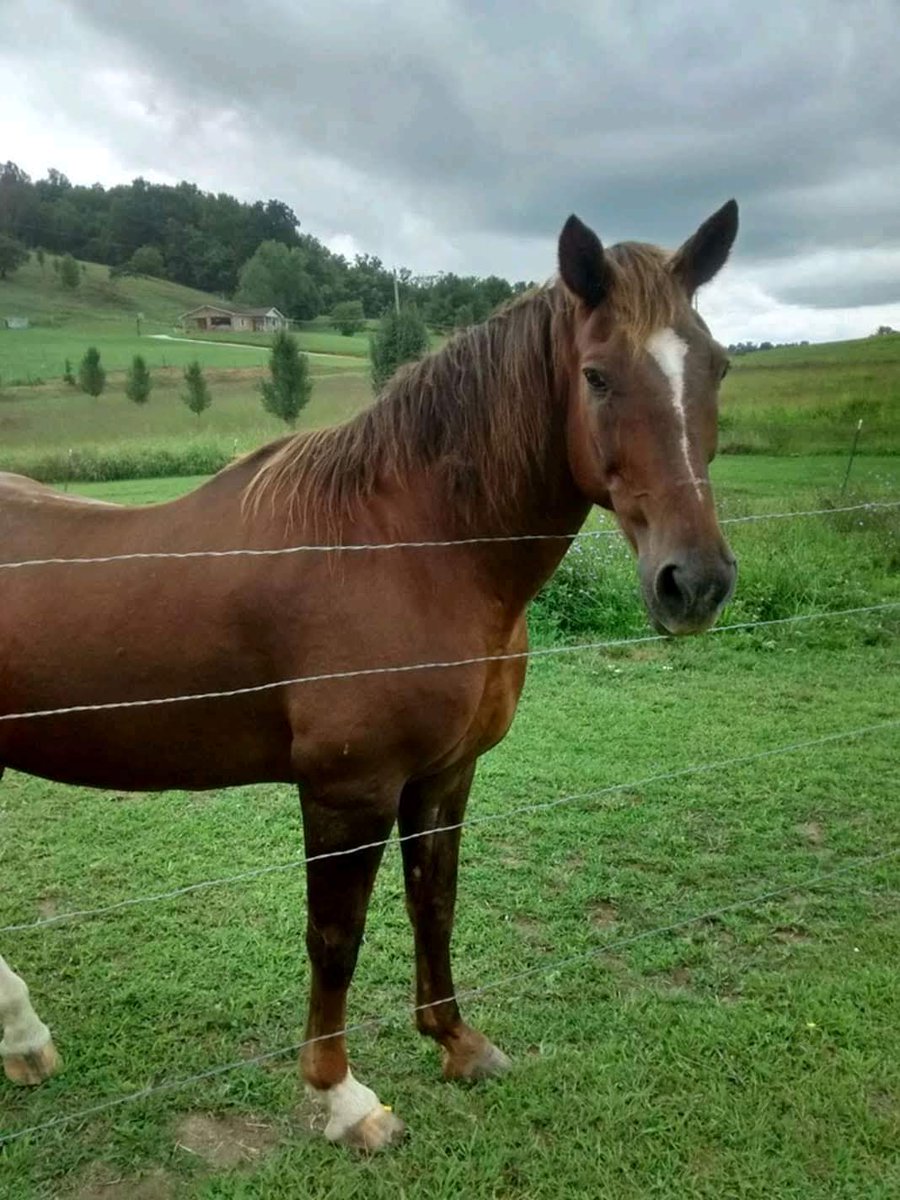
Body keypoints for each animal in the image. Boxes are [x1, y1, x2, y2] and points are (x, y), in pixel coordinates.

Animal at [0, 201, 739, 1150]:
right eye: (598, 377)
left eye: (717, 365)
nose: (695, 582)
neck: (408, 548)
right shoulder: (348, 791)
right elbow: (336, 936)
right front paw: (343, 1098)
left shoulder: (444, 775)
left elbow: (436, 903)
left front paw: (458, 1043)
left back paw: (22, 1039)